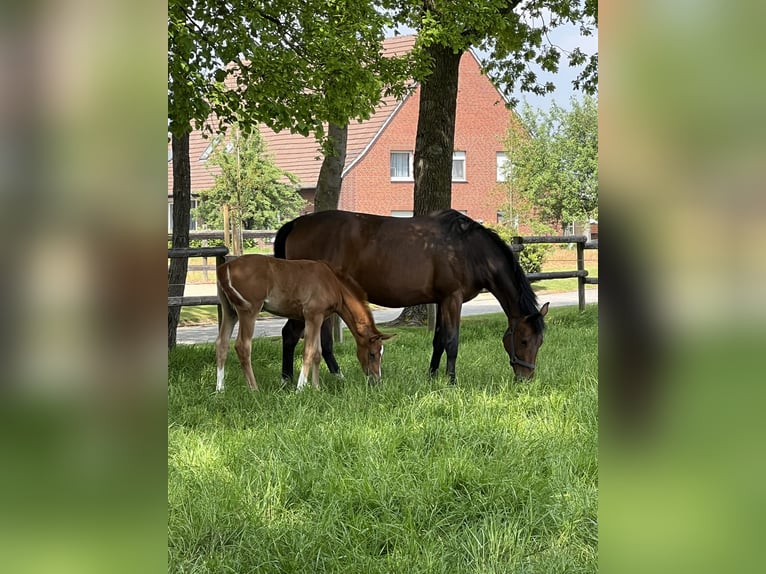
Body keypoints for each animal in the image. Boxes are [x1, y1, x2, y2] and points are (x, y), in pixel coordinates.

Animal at [216, 255, 396, 394]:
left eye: (381, 354)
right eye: (372, 354)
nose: (376, 380)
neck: (333, 283)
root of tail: (225, 268)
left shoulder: (320, 318)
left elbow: (317, 352)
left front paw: (316, 388)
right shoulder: (312, 316)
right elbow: (309, 351)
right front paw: (300, 389)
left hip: (230, 312)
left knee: (221, 344)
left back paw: (220, 390)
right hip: (249, 310)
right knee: (242, 346)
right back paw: (254, 389)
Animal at [272, 209, 548, 384]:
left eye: (540, 342)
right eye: (524, 341)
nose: (526, 379)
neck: (468, 249)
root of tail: (295, 224)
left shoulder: (441, 300)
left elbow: (438, 341)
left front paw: (432, 377)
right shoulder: (453, 298)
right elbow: (452, 342)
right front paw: (451, 381)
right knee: (290, 335)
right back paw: (287, 381)